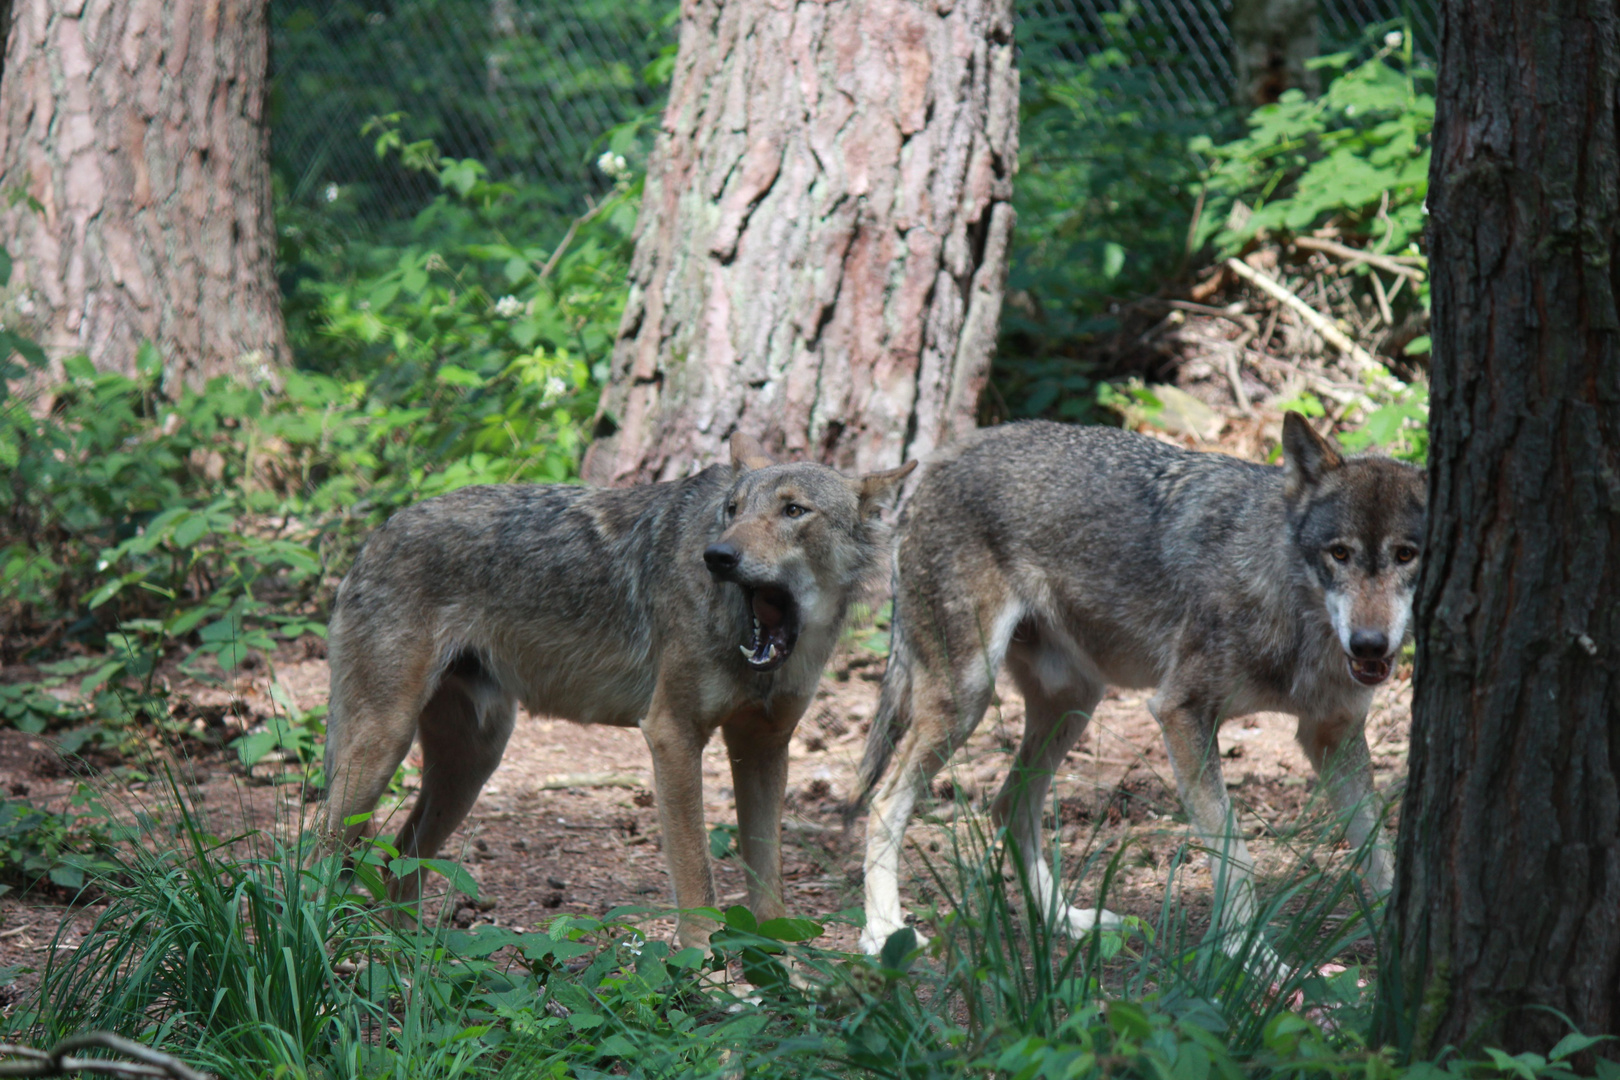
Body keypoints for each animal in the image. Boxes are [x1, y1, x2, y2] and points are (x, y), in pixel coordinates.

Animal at [322, 433, 920, 952]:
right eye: (732, 509)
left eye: (794, 511)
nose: (718, 556)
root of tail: (376, 534)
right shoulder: (672, 736)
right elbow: (697, 881)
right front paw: (715, 978)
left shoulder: (765, 747)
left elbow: (768, 888)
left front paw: (784, 975)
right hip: (382, 749)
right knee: (319, 851)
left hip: (470, 765)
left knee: (397, 866)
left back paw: (410, 962)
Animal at [855, 414, 1425, 952]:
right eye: (1339, 553)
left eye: (1406, 554)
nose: (1369, 644)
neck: (1294, 606)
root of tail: (944, 456)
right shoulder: (1181, 713)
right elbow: (1234, 855)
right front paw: (1251, 960)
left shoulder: (1332, 734)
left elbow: (1379, 850)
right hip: (968, 698)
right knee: (884, 804)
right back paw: (884, 930)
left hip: (1073, 704)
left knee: (1009, 806)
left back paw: (1065, 922)